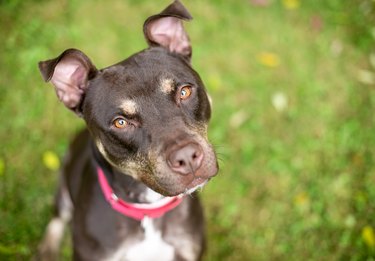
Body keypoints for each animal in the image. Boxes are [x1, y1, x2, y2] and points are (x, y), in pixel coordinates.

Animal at [36, 1, 219, 258]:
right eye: (120, 122)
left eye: (184, 92)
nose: (187, 157)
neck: (148, 211)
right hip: (63, 184)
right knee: (57, 217)